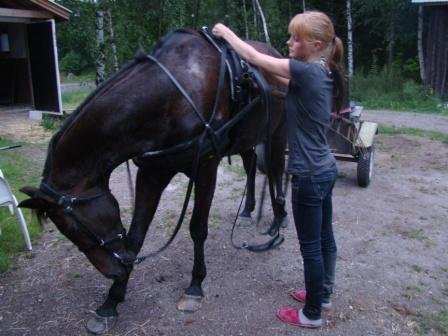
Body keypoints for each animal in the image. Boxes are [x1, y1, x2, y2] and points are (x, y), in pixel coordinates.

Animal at [18, 29, 288, 334]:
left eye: (75, 226)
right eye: (66, 232)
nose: (114, 270)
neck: (176, 93)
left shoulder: (206, 168)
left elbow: (197, 229)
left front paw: (195, 285)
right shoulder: (152, 173)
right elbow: (135, 237)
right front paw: (111, 301)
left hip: (277, 132)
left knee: (276, 169)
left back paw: (278, 218)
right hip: (247, 138)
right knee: (252, 163)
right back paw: (248, 209)